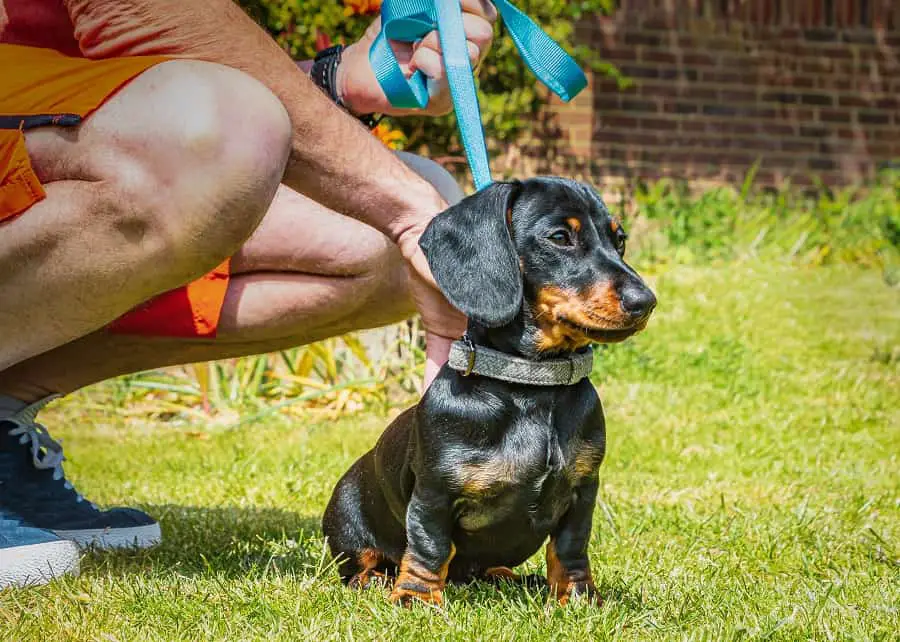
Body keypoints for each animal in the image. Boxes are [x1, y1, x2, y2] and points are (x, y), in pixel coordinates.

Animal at [322, 176, 652, 604]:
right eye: (560, 237)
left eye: (620, 239)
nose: (645, 302)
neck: (531, 385)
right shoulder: (435, 492)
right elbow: (429, 547)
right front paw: (415, 597)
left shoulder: (582, 489)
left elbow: (570, 547)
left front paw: (578, 597)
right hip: (347, 520)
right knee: (359, 562)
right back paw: (374, 579)